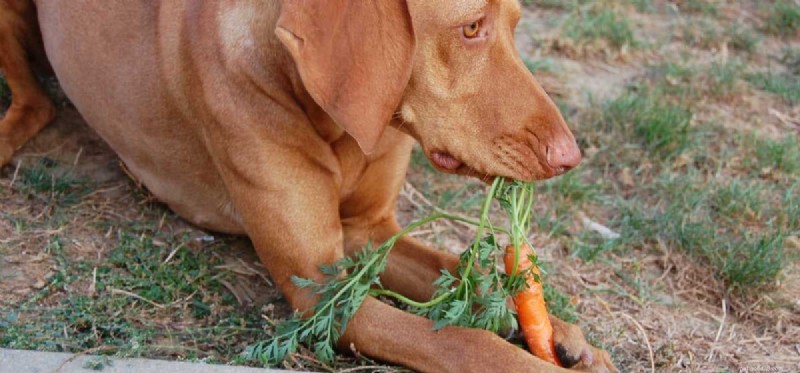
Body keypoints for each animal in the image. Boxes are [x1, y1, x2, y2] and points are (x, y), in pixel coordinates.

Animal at [0, 1, 620, 370]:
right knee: (35, 104)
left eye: (517, 24)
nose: (570, 156)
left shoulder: (370, 233)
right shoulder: (323, 292)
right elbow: (463, 339)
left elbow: (475, 273)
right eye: (470, 28)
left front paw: (569, 336)